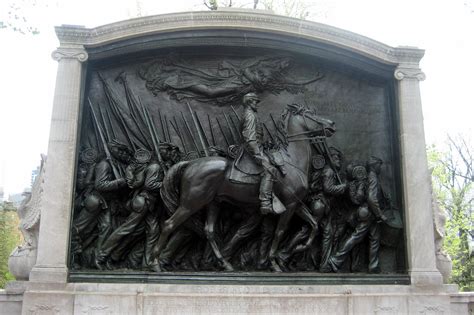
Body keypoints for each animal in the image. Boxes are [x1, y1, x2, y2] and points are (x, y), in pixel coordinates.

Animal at [154, 105, 336, 272]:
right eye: (311, 114)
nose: (332, 124)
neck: (292, 160)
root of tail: (189, 164)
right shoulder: (290, 205)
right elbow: (280, 231)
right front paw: (274, 262)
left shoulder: (296, 205)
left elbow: (314, 225)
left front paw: (299, 248)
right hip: (191, 203)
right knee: (169, 224)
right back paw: (155, 262)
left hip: (214, 203)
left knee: (209, 231)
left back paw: (225, 264)